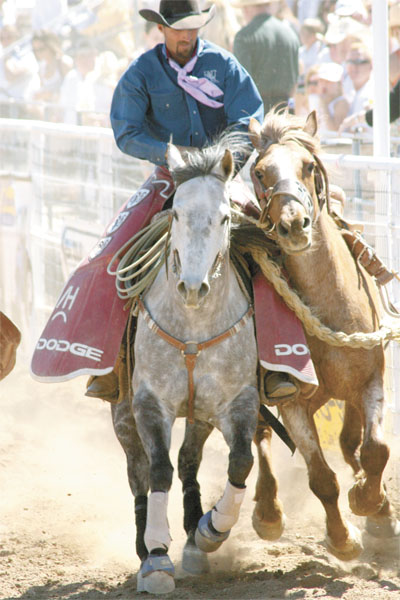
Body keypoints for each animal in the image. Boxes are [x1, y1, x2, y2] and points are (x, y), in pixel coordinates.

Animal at [111, 141, 260, 596]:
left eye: (225, 215)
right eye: (176, 213)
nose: (192, 287)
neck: (194, 324)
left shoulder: (238, 402)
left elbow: (241, 461)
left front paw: (212, 529)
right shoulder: (149, 403)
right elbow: (159, 469)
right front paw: (157, 555)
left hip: (200, 414)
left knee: (190, 459)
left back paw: (196, 535)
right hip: (122, 413)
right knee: (139, 471)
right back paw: (144, 545)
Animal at [248, 109, 398, 564]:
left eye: (309, 166)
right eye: (259, 172)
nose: (294, 224)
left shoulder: (370, 380)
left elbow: (375, 449)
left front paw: (373, 506)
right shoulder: (293, 402)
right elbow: (321, 478)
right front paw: (343, 538)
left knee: (349, 444)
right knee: (259, 438)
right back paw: (267, 511)